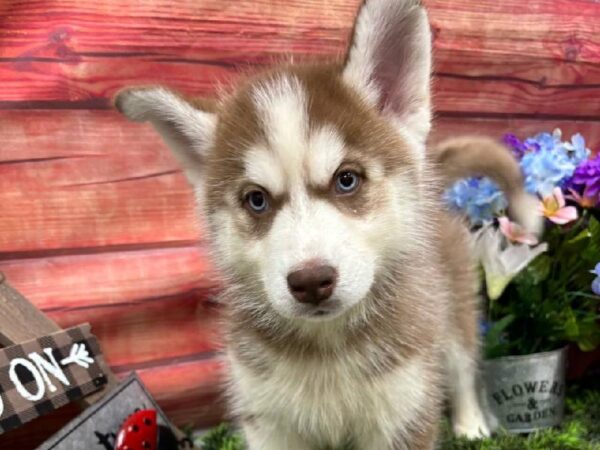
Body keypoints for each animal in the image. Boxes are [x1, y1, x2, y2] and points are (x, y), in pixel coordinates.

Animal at [112, 1, 540, 448]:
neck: (327, 350)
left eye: (346, 179)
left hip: (451, 312)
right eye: (256, 200)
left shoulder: (401, 410)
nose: (311, 281)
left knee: (462, 367)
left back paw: (471, 424)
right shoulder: (268, 420)